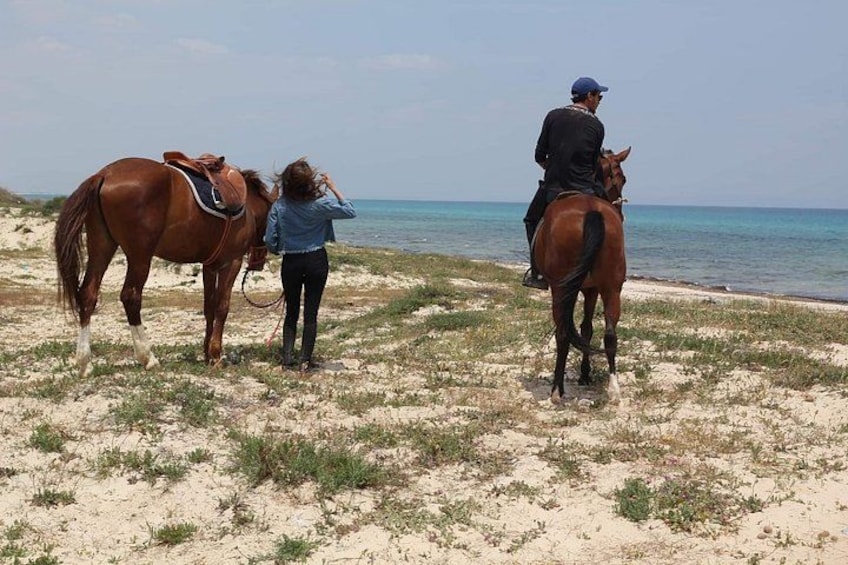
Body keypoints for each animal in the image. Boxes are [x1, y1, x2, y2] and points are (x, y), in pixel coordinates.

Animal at [54, 157, 278, 376]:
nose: (259, 262)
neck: (247, 206)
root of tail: (104, 174)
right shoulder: (231, 263)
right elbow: (222, 307)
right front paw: (215, 355)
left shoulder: (209, 266)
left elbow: (209, 308)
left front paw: (206, 353)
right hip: (139, 256)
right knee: (131, 296)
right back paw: (147, 357)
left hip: (102, 246)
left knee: (88, 294)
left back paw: (85, 363)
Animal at [533, 147, 631, 404]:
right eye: (622, 179)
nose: (621, 213)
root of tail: (592, 211)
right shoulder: (592, 288)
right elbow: (587, 329)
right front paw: (585, 375)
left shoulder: (581, 289)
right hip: (611, 287)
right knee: (610, 334)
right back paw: (614, 390)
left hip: (561, 289)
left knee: (563, 333)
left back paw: (557, 390)